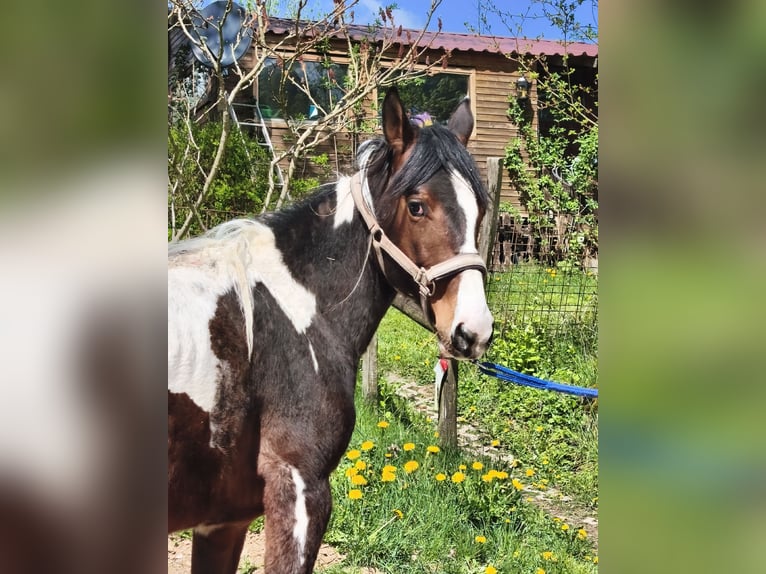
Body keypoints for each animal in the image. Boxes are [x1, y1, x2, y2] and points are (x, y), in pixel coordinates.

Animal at [168, 87, 494, 573]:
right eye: (417, 206)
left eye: (481, 210)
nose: (474, 330)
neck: (291, 312)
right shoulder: (300, 489)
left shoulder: (223, 521)